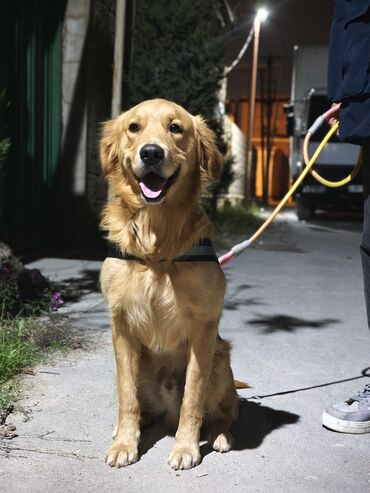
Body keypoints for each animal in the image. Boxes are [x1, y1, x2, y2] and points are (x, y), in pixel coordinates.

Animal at [99, 99, 241, 468]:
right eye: (133, 127)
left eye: (175, 128)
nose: (151, 153)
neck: (157, 246)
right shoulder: (121, 325)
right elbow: (127, 398)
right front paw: (125, 443)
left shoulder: (204, 328)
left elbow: (193, 397)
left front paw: (186, 447)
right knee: (140, 405)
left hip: (221, 361)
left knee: (224, 412)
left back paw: (220, 435)